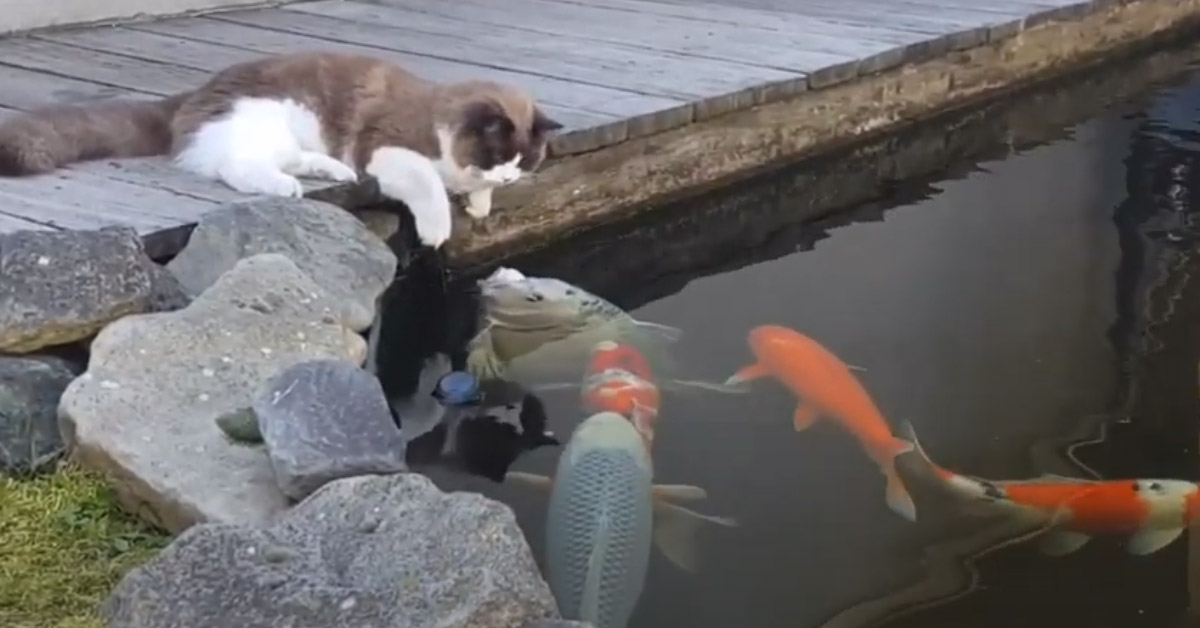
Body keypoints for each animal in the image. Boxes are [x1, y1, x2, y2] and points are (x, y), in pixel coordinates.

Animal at [0, 51, 561, 248]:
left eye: (524, 162)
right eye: (500, 156)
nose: (510, 176)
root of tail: (190, 97)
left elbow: (470, 194)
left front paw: (482, 203)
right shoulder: (388, 148)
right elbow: (429, 186)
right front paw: (439, 228)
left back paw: (329, 171)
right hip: (266, 120)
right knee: (238, 168)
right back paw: (287, 187)